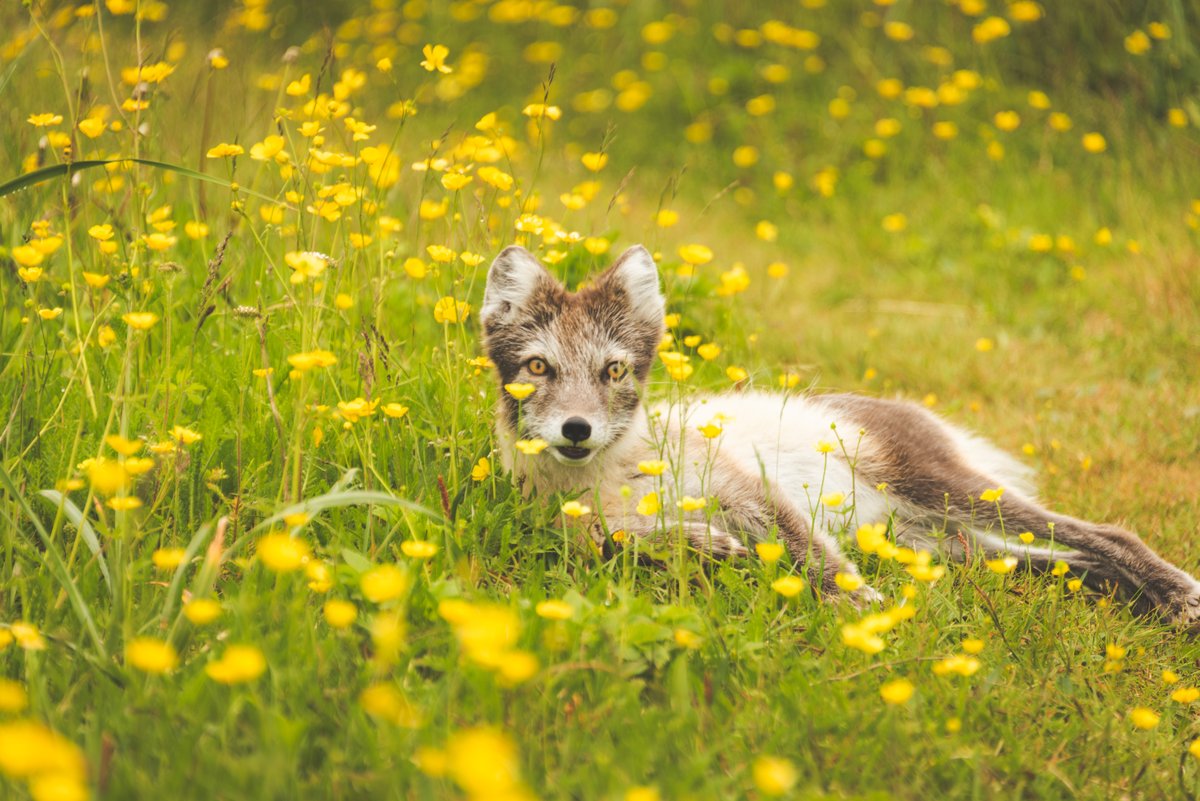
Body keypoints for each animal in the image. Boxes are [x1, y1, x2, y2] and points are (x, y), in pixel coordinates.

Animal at [480, 244, 1200, 623]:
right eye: (538, 367)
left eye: (614, 370)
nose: (577, 429)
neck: (610, 478)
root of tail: (915, 412)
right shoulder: (573, 535)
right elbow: (619, 543)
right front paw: (703, 544)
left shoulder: (745, 486)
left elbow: (807, 550)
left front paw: (860, 605)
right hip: (943, 542)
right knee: (1069, 560)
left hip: (947, 490)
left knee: (1106, 535)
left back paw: (1178, 596)